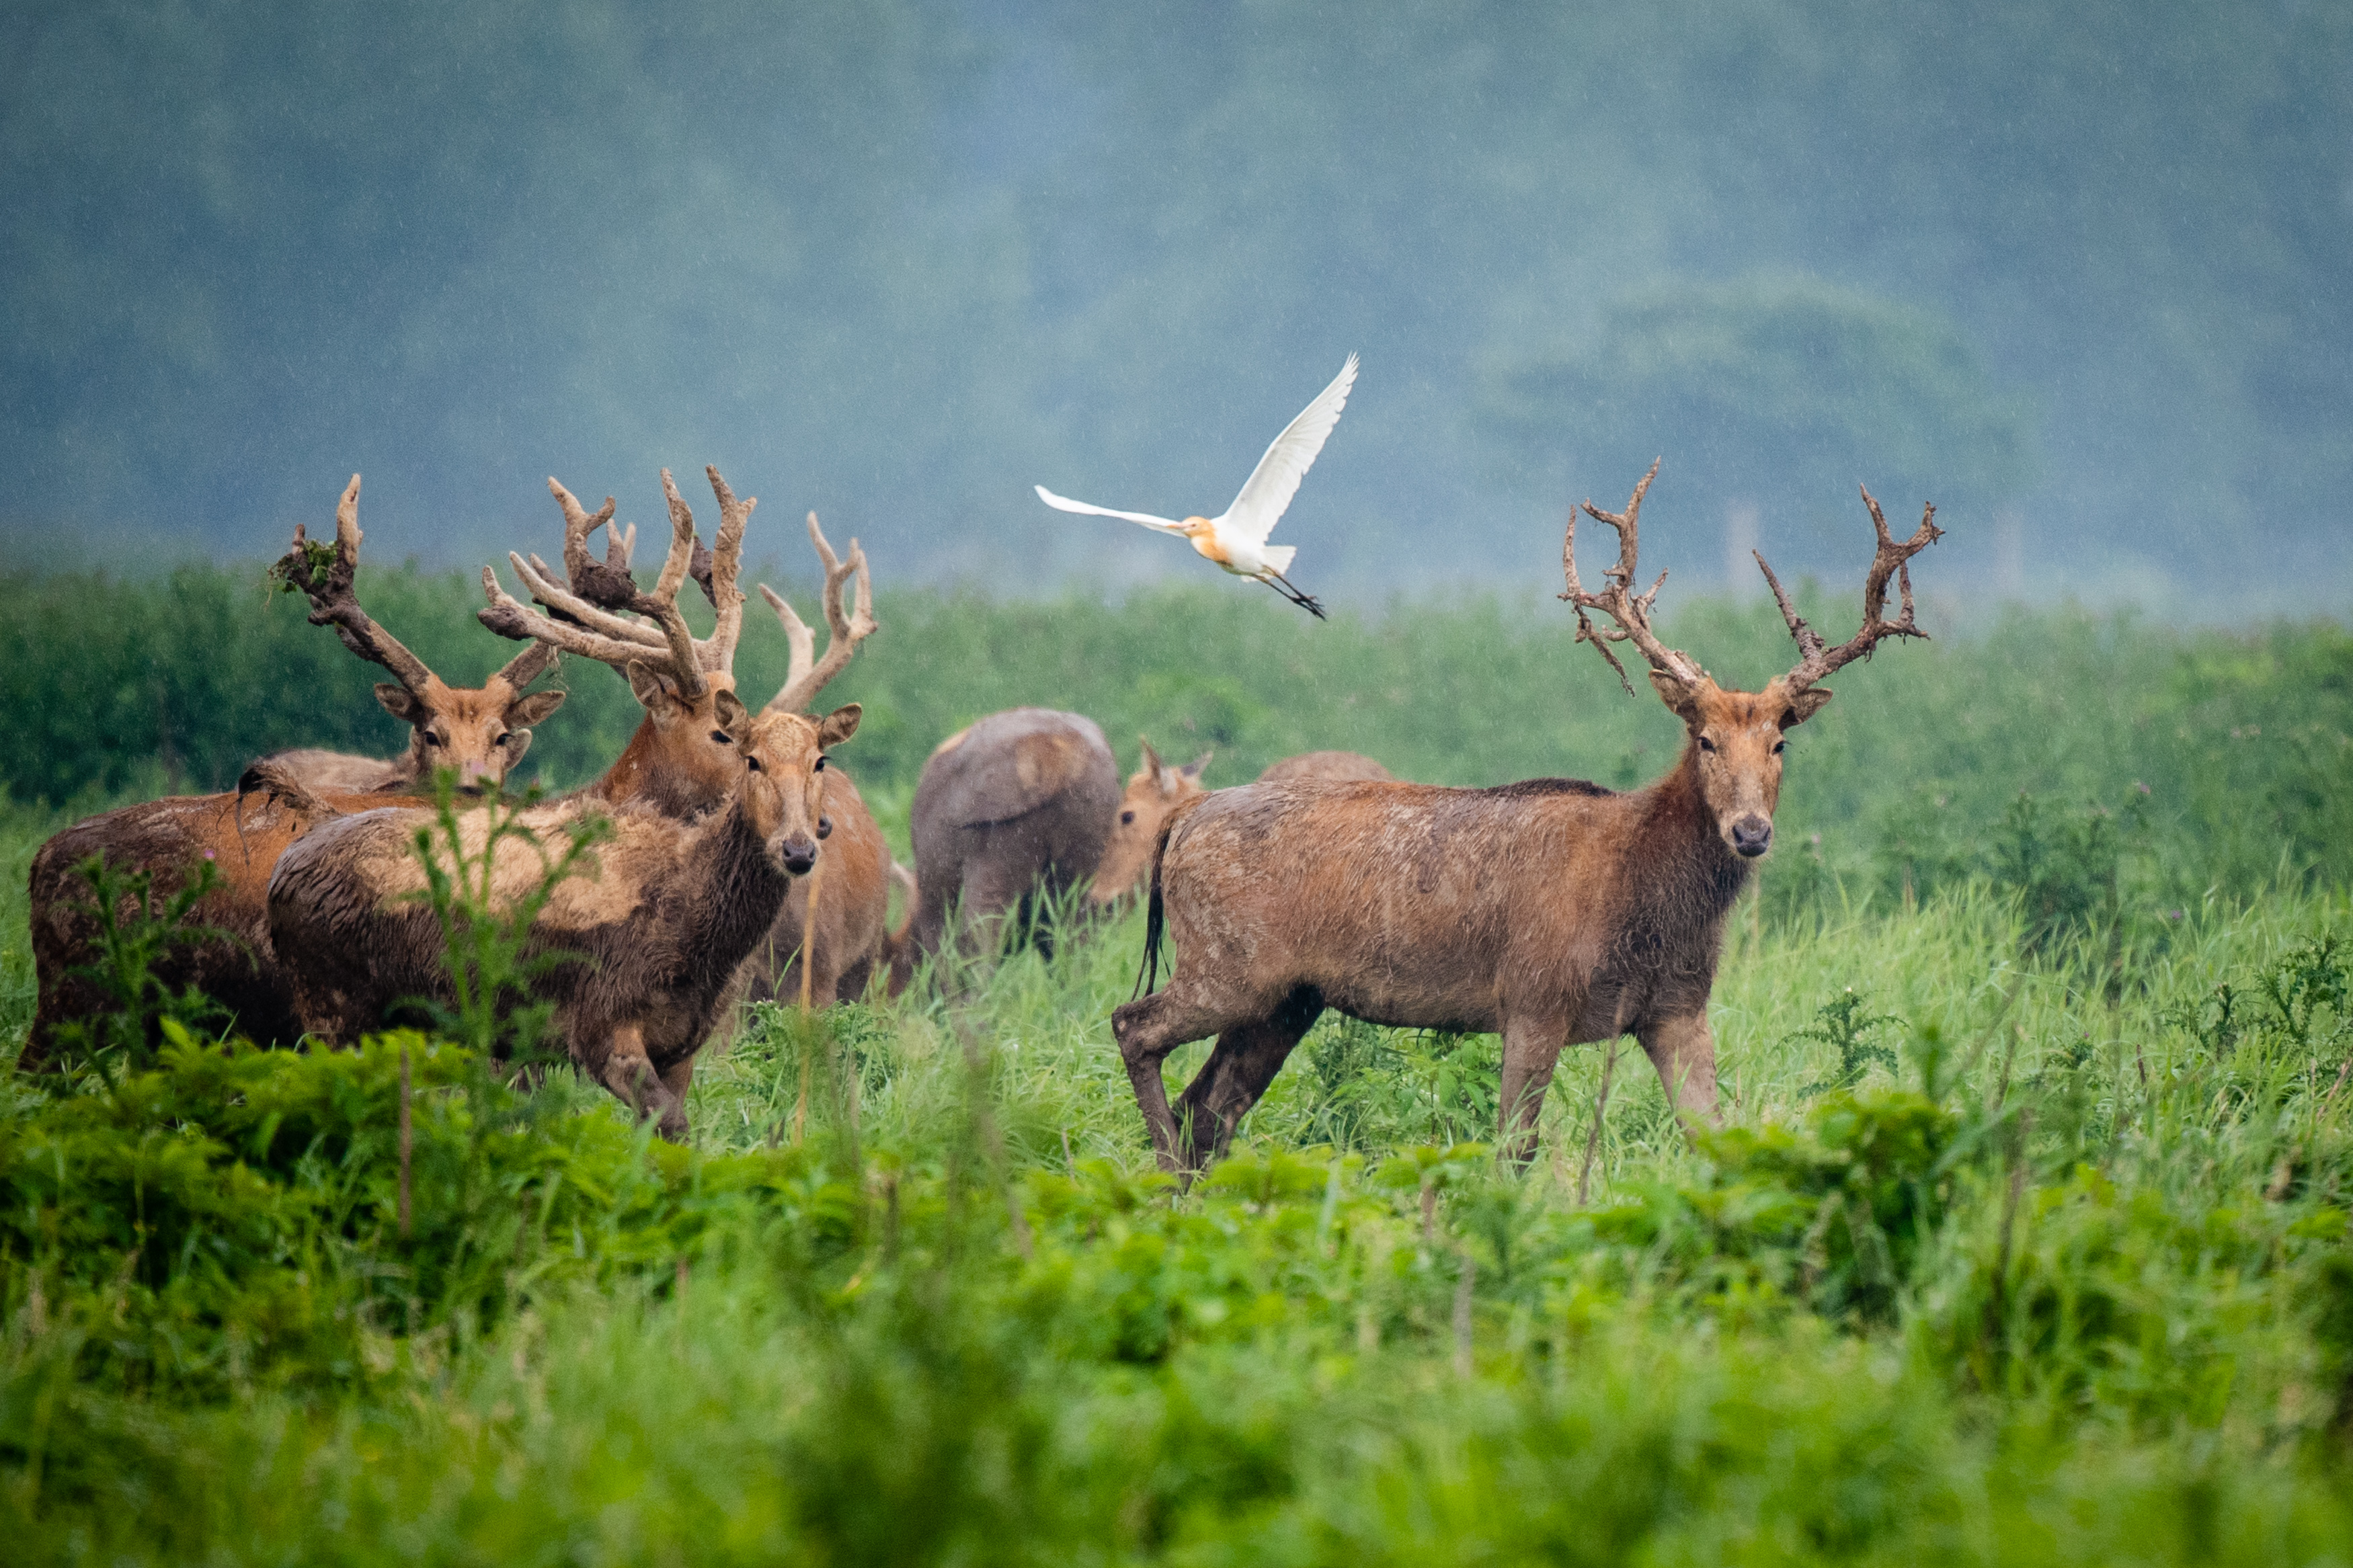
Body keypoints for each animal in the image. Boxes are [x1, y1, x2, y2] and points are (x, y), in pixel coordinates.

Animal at [1111, 463, 1939, 1175]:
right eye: (1703, 739)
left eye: (1779, 742)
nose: (1750, 831)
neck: (1642, 904)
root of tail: (1182, 820)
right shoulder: (1534, 996)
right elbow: (1514, 1148)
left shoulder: (1678, 1007)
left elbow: (1711, 1136)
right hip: (1227, 960)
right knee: (1134, 1026)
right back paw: (1161, 1179)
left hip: (1286, 997)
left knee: (1210, 1106)